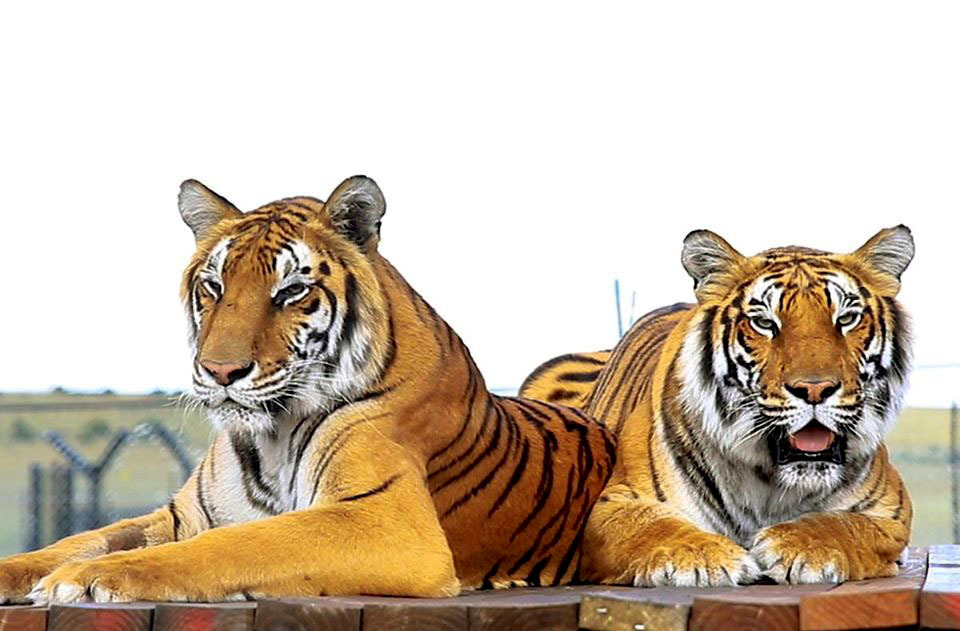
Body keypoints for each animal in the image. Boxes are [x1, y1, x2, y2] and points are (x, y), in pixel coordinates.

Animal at [0, 175, 615, 605]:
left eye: (291, 291)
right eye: (213, 286)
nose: (220, 371)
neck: (269, 436)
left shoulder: (387, 520)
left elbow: (237, 544)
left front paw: (90, 578)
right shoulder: (180, 516)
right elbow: (76, 540)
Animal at [520, 227, 914, 586]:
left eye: (846, 319)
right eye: (764, 323)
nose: (815, 389)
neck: (773, 483)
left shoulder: (891, 511)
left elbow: (843, 523)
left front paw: (800, 545)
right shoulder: (612, 505)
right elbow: (654, 527)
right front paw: (701, 558)